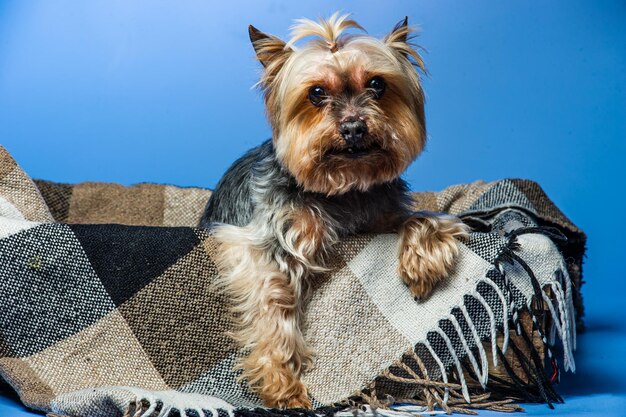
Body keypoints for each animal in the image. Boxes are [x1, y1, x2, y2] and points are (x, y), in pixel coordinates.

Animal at [200, 13, 468, 410]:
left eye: (376, 84)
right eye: (315, 93)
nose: (354, 127)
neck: (343, 189)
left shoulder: (384, 215)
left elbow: (423, 219)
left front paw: (422, 266)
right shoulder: (257, 240)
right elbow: (272, 297)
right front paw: (281, 381)